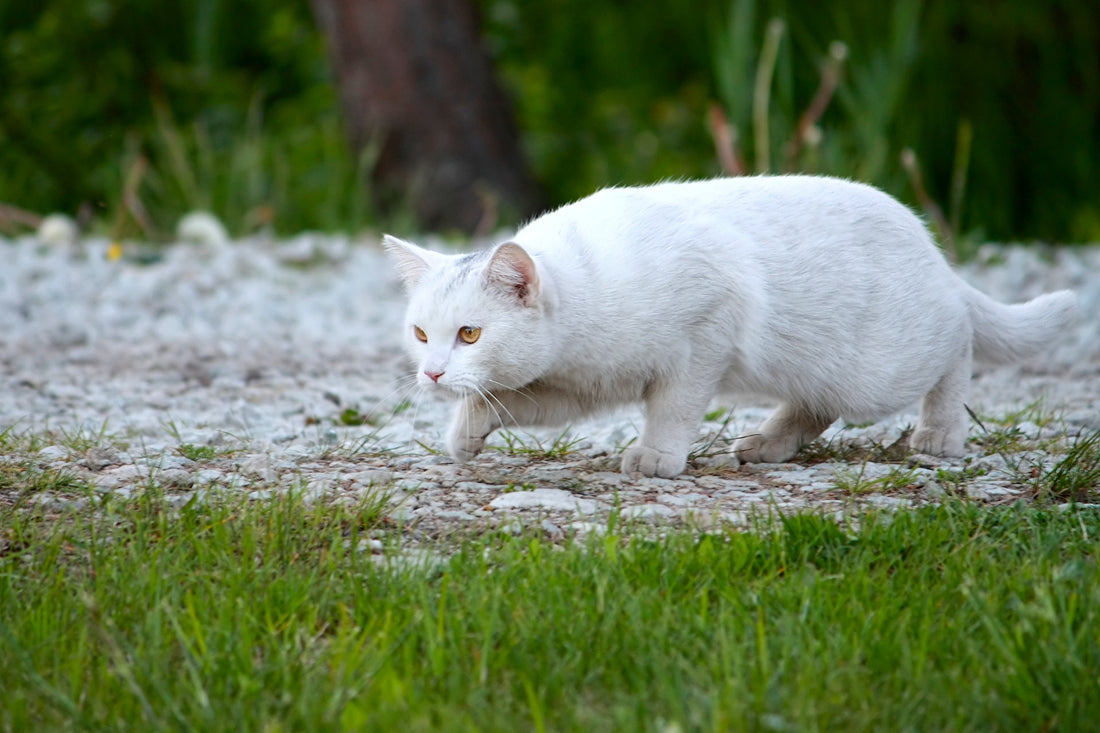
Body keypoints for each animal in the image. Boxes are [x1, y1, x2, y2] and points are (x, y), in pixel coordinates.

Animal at [382, 173, 1078, 477]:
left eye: (470, 334)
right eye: (421, 335)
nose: (433, 373)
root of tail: (935, 255)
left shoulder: (703, 335)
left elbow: (673, 408)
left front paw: (657, 458)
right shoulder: (578, 385)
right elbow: (507, 401)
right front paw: (465, 433)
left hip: (887, 366)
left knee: (958, 343)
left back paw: (939, 434)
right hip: (827, 370)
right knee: (817, 404)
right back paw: (768, 444)